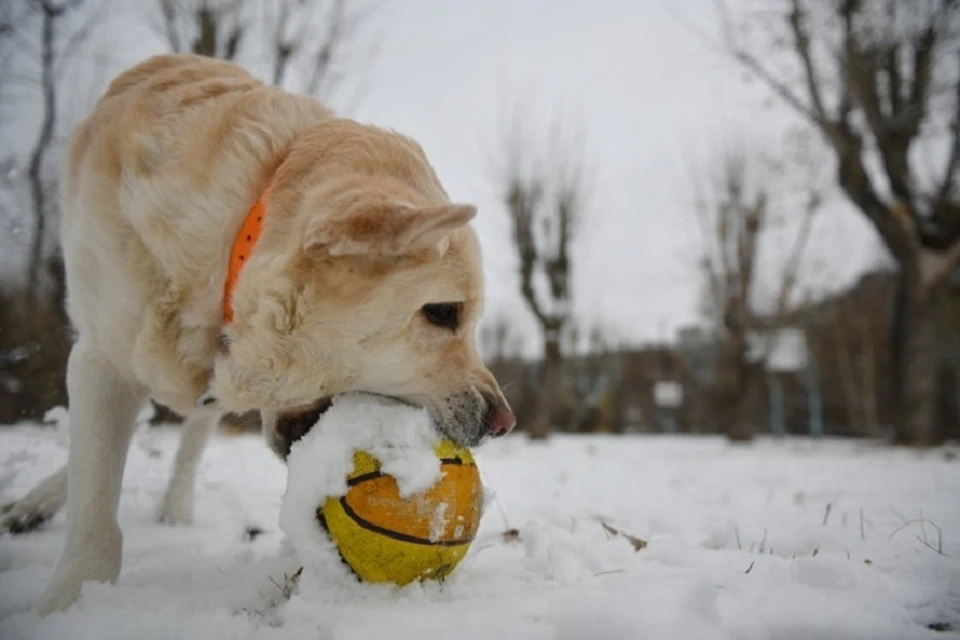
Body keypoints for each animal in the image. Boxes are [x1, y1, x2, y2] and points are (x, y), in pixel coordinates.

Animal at [0, 53, 516, 616]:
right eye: (442, 313)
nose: (504, 421)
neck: (234, 240)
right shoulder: (101, 356)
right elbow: (94, 500)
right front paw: (69, 602)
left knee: (189, 436)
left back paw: (171, 508)